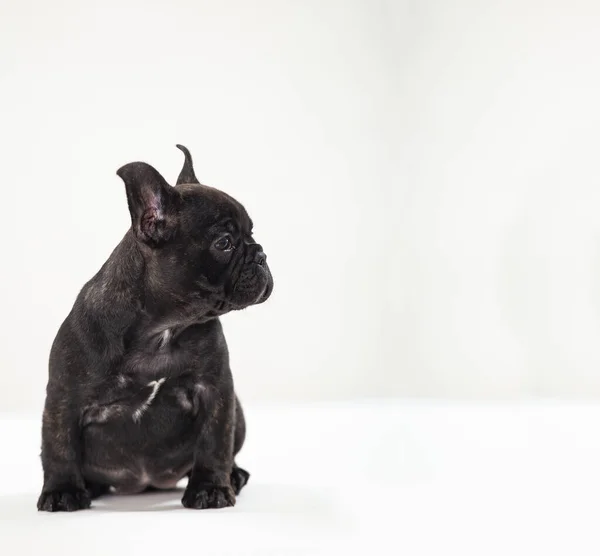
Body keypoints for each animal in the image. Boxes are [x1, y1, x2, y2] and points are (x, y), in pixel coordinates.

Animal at [36, 144, 274, 512]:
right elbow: (59, 446)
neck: (163, 328)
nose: (261, 255)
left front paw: (211, 488)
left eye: (252, 235)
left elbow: (215, 442)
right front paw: (62, 491)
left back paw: (233, 475)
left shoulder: (216, 390)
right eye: (224, 243)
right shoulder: (65, 397)